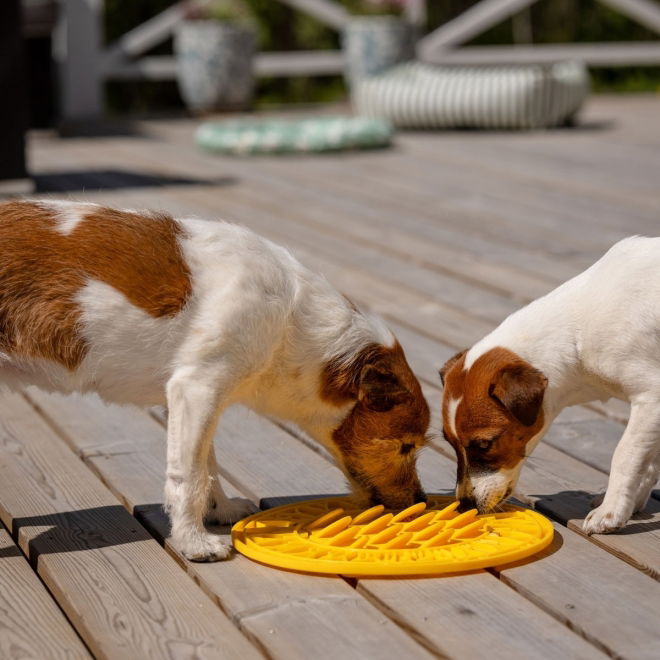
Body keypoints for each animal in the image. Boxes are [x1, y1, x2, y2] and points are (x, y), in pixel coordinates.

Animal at [0, 199, 428, 560]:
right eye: (406, 446)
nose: (418, 501)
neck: (292, 321)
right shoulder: (197, 388)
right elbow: (188, 475)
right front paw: (194, 541)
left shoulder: (204, 395)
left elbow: (208, 464)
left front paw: (221, 509)